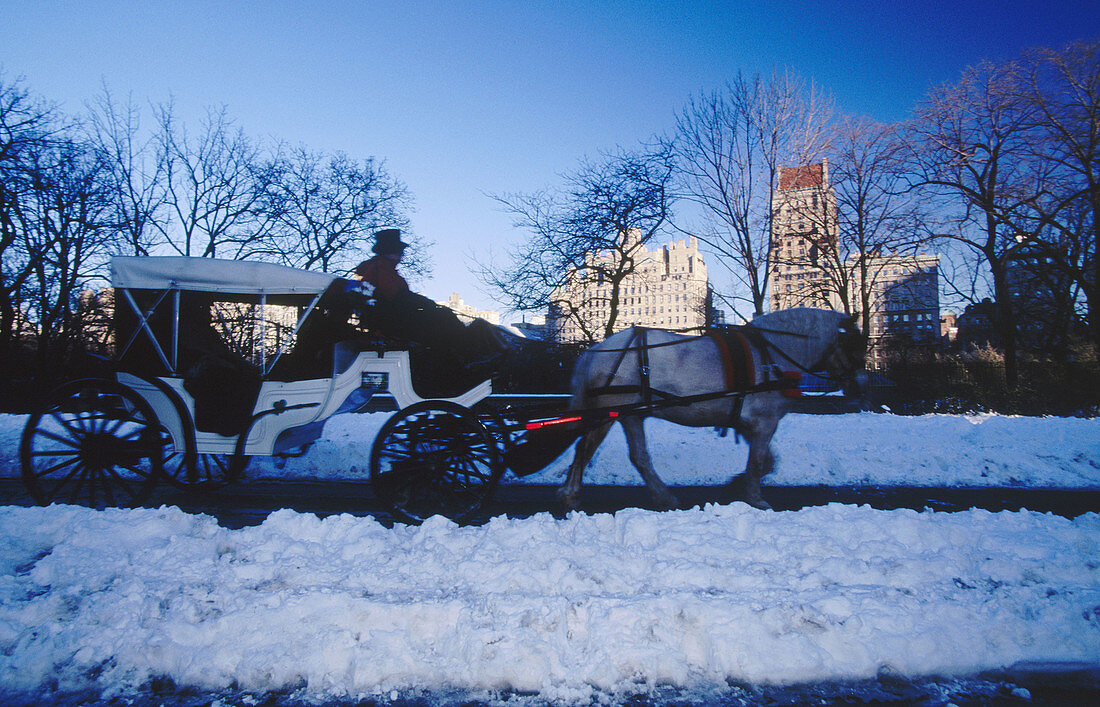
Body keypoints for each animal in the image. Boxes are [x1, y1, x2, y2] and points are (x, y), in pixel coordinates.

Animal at [554, 307, 862, 512]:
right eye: (853, 342)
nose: (861, 383)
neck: (770, 354)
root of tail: (596, 351)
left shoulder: (748, 424)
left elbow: (767, 462)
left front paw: (735, 485)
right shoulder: (764, 423)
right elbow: (759, 462)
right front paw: (756, 499)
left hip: (629, 415)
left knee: (610, 452)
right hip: (619, 413)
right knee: (605, 452)